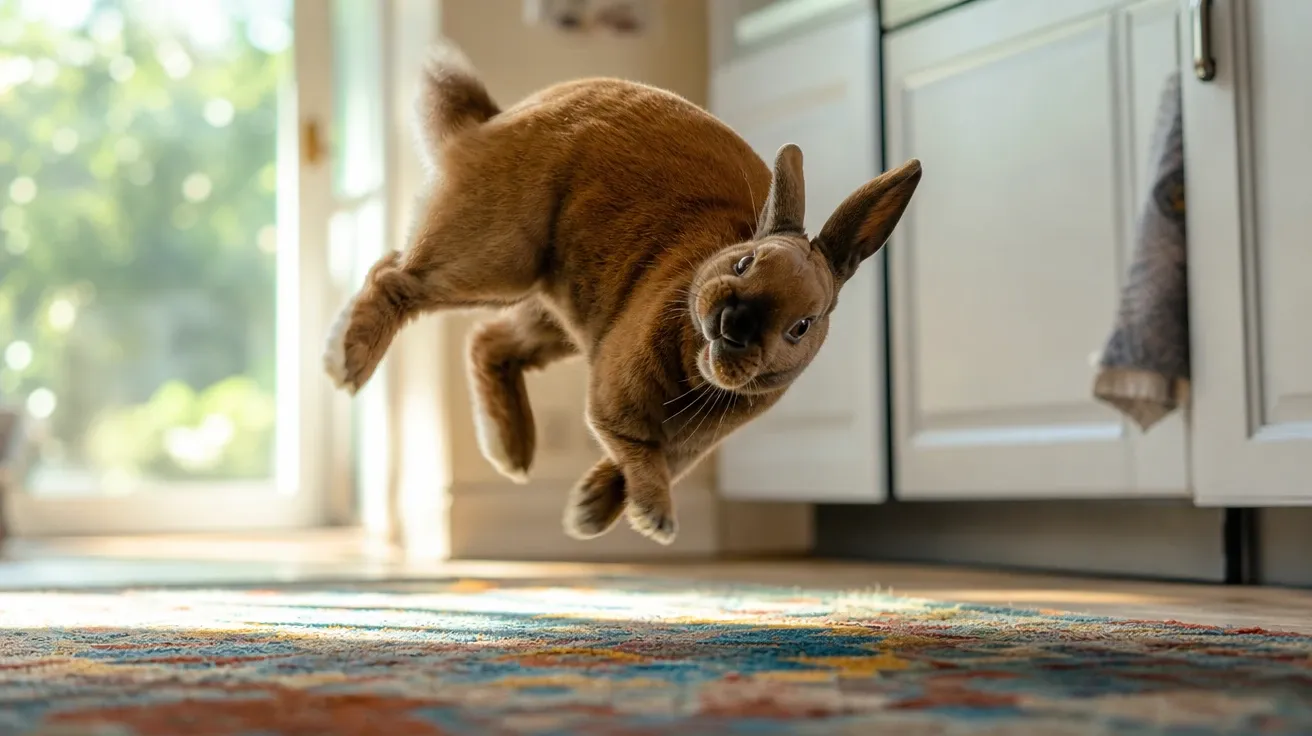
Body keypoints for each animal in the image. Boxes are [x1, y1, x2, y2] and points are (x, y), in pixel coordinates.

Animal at [323, 43, 922, 545]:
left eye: (802, 326)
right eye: (745, 262)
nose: (735, 324)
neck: (697, 368)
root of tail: (492, 122)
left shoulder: (690, 446)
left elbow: (650, 463)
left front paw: (589, 511)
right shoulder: (615, 400)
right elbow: (636, 451)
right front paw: (651, 519)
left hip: (559, 312)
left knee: (487, 340)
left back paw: (512, 449)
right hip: (497, 256)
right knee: (394, 276)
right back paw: (348, 359)